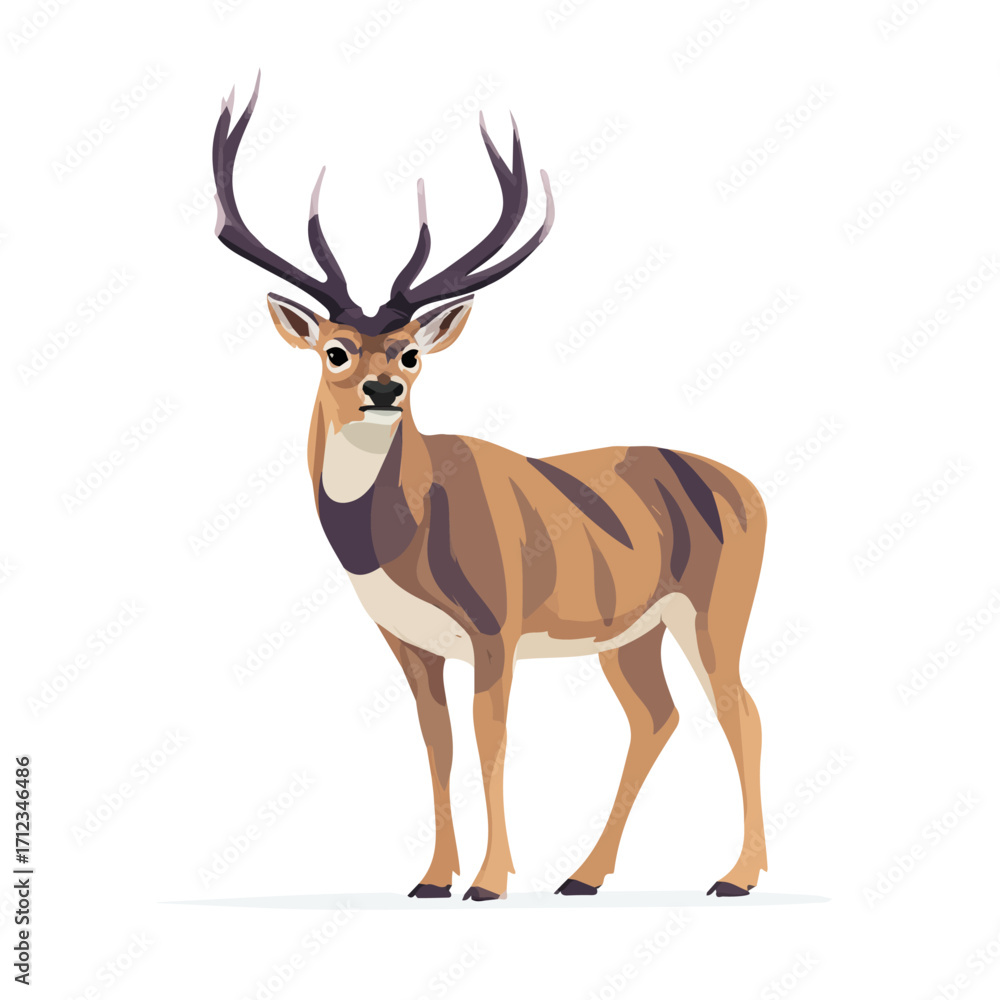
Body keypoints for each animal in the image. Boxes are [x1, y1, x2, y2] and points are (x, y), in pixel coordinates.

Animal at [212, 75, 768, 902]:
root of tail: (752, 490)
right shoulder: (409, 642)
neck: (406, 531)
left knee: (741, 710)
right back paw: (585, 876)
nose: (382, 390)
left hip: (715, 605)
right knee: (657, 717)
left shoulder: (496, 624)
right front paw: (432, 879)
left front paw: (489, 881)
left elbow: (490, 743)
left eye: (410, 353)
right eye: (336, 350)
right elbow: (437, 745)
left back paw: (736, 875)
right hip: (630, 633)